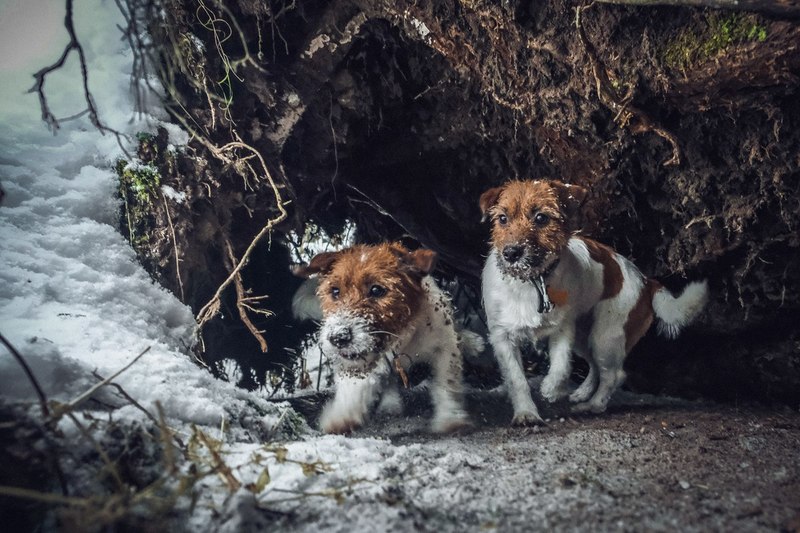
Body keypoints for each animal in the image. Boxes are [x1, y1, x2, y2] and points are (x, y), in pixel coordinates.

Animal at [292, 243, 468, 434]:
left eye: (377, 290)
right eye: (335, 291)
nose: (338, 337)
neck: (401, 340)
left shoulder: (444, 346)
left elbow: (446, 383)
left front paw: (450, 418)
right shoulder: (362, 363)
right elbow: (354, 387)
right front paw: (342, 417)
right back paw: (389, 405)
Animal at [478, 179, 708, 424]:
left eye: (541, 218)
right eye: (502, 218)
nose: (511, 253)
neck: (532, 282)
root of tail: (647, 282)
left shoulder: (563, 329)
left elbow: (561, 365)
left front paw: (552, 389)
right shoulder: (502, 337)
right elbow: (517, 379)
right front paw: (526, 413)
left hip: (605, 337)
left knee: (614, 375)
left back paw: (593, 404)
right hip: (586, 336)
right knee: (596, 367)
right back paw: (582, 393)